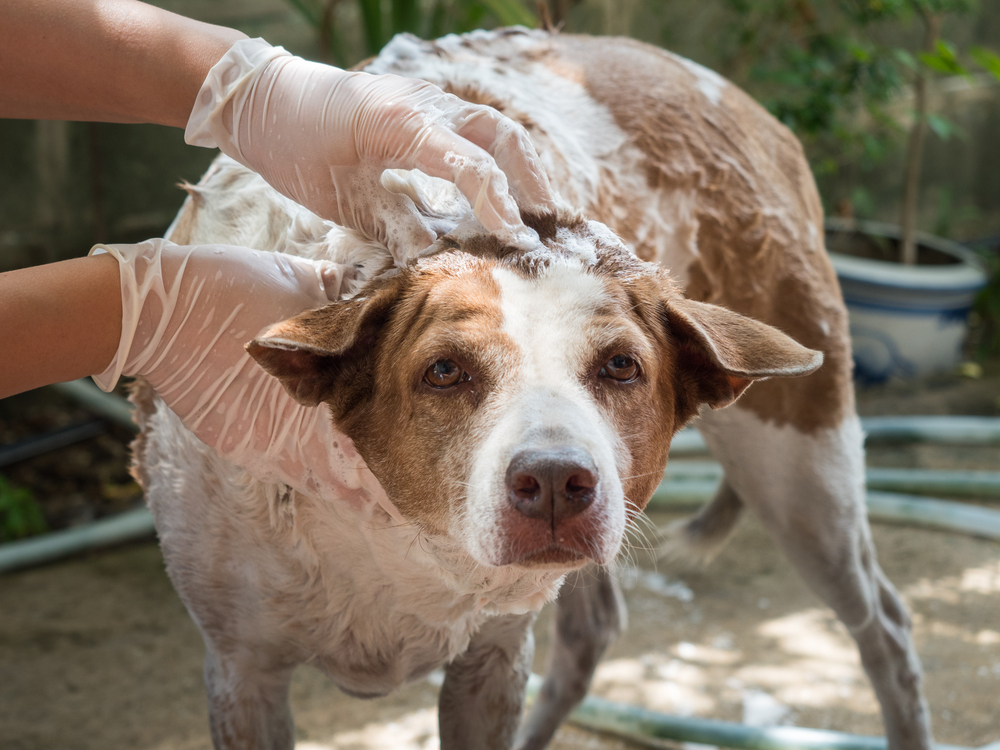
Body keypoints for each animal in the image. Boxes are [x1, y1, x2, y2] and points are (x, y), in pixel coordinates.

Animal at [137, 26, 932, 750]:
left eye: (621, 366)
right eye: (445, 371)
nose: (554, 481)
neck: (394, 530)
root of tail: (733, 96)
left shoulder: (490, 659)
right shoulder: (242, 670)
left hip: (802, 473)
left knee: (886, 628)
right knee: (594, 630)